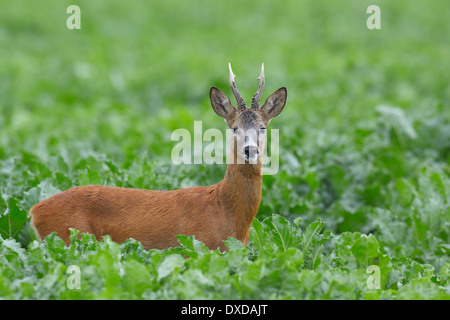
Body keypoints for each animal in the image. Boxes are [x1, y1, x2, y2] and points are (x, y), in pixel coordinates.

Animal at [29, 63, 286, 251]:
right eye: (234, 128)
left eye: (262, 127)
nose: (250, 150)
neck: (225, 211)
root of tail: (35, 210)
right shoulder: (198, 248)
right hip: (67, 237)